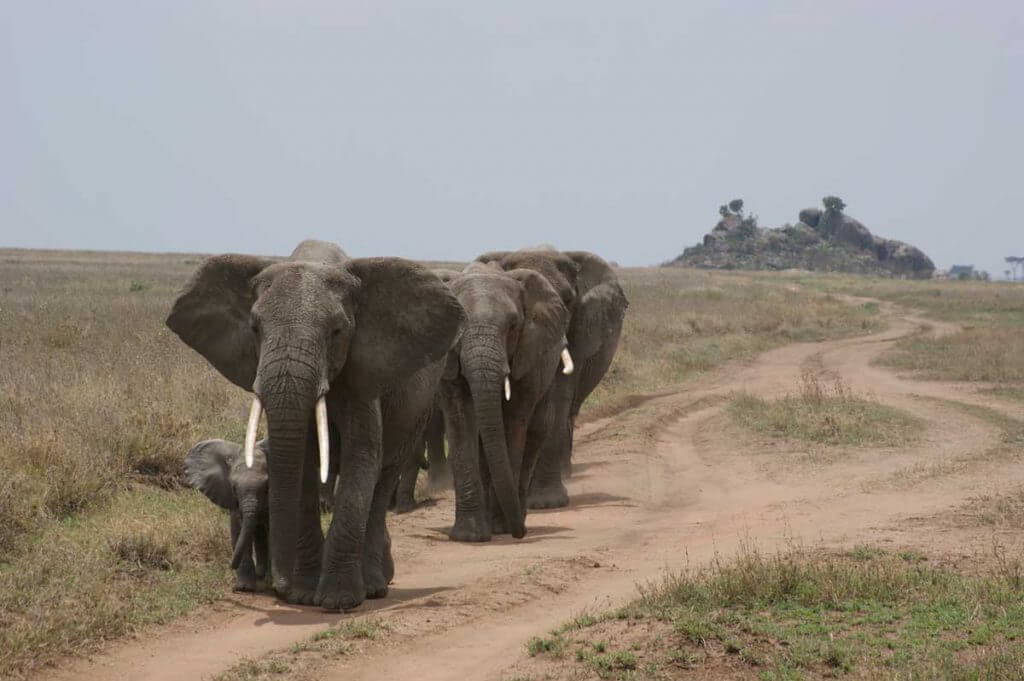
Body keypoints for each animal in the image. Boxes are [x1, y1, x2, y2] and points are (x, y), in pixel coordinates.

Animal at [186, 438, 270, 593]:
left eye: (266, 488)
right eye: (234, 488)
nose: (230, 566)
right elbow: (238, 529)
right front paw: (244, 588)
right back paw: (261, 575)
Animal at [438, 260, 573, 540]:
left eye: (512, 326)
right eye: (458, 324)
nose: (518, 532)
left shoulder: (528, 353)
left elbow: (513, 421)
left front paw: (501, 527)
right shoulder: (448, 358)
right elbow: (459, 419)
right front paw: (469, 536)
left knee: (535, 431)